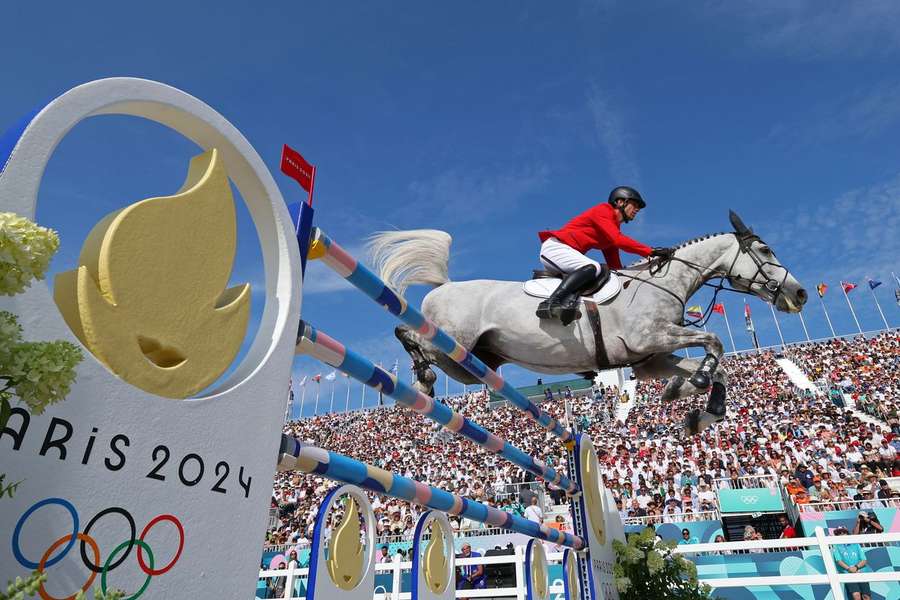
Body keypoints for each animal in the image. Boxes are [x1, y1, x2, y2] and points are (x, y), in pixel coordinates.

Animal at [368, 213, 808, 434]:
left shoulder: (651, 358)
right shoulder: (653, 337)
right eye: (765, 249)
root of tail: (444, 287)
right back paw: (422, 379)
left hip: (471, 365)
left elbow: (719, 367)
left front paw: (696, 405)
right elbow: (714, 341)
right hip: (452, 346)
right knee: (408, 335)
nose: (800, 293)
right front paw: (695, 386)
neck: (664, 282)